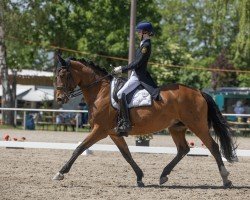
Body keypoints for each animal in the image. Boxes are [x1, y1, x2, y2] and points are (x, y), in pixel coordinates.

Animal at [52, 55, 236, 188]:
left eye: (63, 75)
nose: (60, 98)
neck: (101, 92)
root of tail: (198, 92)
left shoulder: (100, 129)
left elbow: (79, 148)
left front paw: (60, 173)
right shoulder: (114, 133)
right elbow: (126, 154)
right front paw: (140, 177)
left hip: (197, 126)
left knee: (213, 146)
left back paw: (226, 179)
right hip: (176, 127)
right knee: (183, 149)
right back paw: (163, 175)